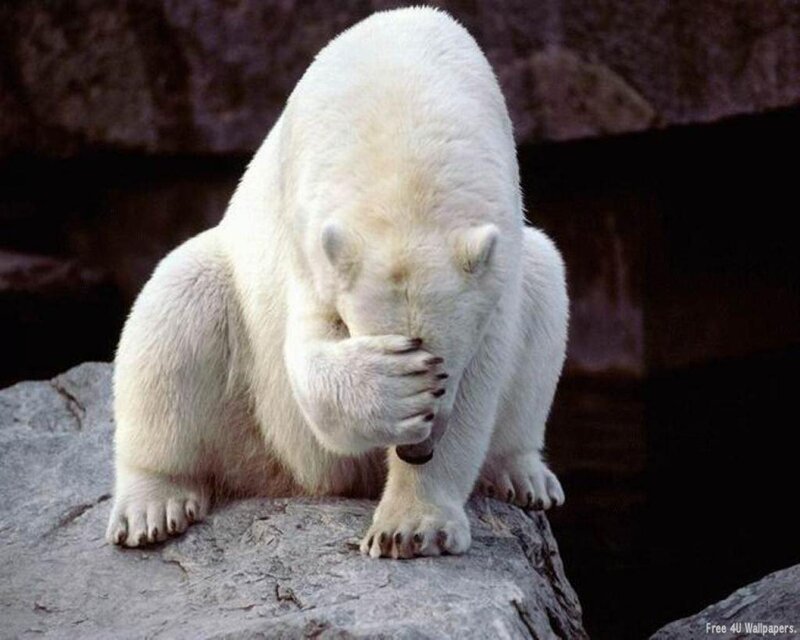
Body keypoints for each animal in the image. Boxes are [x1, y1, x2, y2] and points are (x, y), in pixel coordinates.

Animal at [105, 6, 568, 559]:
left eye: (444, 370)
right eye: (420, 363)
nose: (416, 451)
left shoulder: (496, 260)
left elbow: (486, 372)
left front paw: (410, 528)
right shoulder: (308, 234)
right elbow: (306, 354)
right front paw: (391, 390)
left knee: (546, 282)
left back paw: (523, 474)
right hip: (248, 412)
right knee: (176, 303)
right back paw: (153, 505)